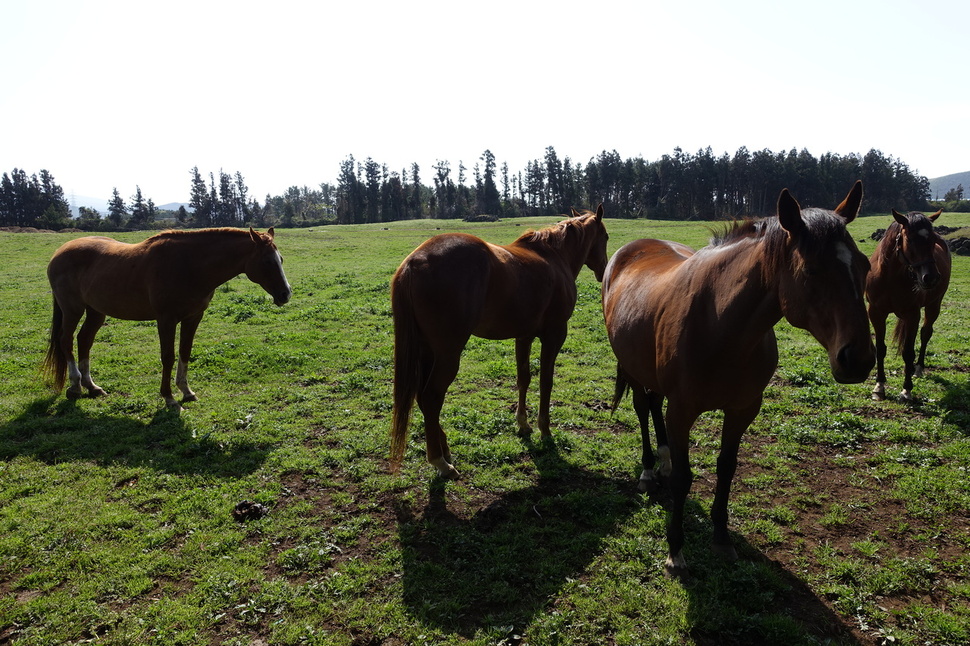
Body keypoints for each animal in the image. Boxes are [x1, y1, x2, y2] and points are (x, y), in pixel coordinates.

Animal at [43, 230, 290, 408]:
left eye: (281, 259)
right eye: (267, 262)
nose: (285, 294)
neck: (189, 265)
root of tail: (59, 252)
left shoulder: (193, 317)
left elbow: (185, 352)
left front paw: (186, 391)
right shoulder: (166, 320)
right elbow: (168, 356)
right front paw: (169, 397)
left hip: (96, 311)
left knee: (84, 340)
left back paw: (92, 387)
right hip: (72, 309)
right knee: (66, 340)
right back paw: (75, 385)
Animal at [388, 208, 604, 480]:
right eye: (606, 236)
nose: (604, 268)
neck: (555, 258)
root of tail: (413, 262)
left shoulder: (524, 336)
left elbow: (524, 379)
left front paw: (523, 424)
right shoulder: (554, 335)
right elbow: (546, 382)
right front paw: (544, 429)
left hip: (426, 351)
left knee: (422, 398)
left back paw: (444, 449)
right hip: (447, 354)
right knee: (431, 397)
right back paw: (440, 462)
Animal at [600, 184, 872, 576]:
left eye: (866, 265)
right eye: (811, 270)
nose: (859, 359)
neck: (719, 323)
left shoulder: (743, 409)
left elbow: (726, 469)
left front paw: (722, 537)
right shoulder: (682, 412)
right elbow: (684, 478)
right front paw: (675, 549)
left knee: (653, 404)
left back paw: (663, 461)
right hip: (633, 368)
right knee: (641, 407)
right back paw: (650, 471)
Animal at [864, 209, 948, 400]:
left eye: (933, 240)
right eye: (909, 239)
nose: (931, 278)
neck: (889, 277)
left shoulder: (912, 315)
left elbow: (908, 352)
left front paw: (906, 389)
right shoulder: (876, 312)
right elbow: (880, 349)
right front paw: (879, 386)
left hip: (934, 305)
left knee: (925, 334)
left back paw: (918, 368)